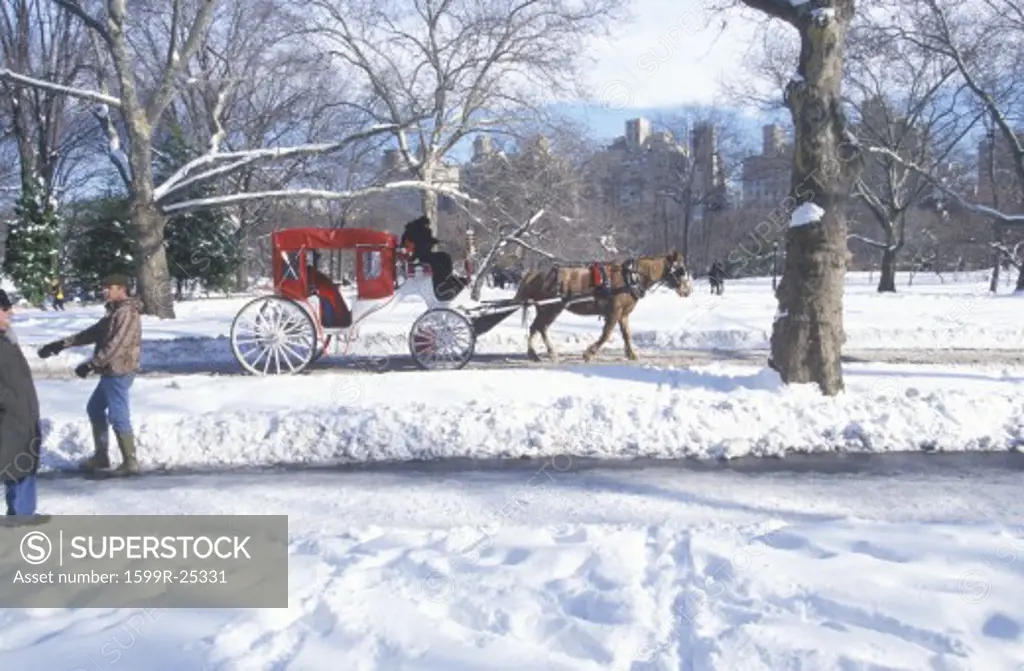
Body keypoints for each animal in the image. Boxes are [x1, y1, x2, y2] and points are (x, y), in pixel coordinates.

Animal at [516, 252, 692, 364]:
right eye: (680, 270)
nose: (688, 290)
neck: (631, 277)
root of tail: (537, 274)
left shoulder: (623, 314)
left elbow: (626, 334)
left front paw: (632, 354)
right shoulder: (614, 312)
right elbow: (606, 334)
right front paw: (589, 353)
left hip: (545, 308)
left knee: (536, 327)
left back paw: (535, 354)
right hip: (551, 308)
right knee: (541, 327)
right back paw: (548, 353)